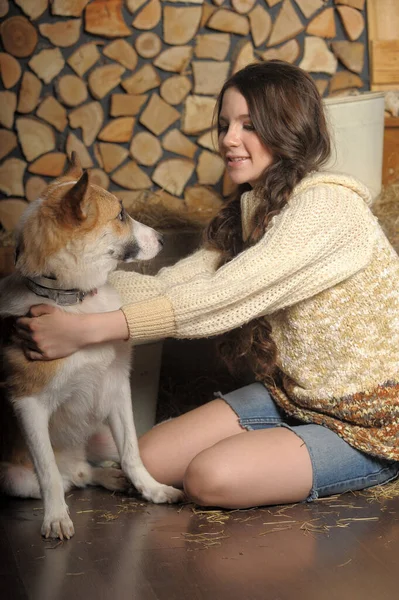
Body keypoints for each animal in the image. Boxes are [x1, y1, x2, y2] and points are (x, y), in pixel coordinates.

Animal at [0, 154, 184, 540]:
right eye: (120, 215)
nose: (163, 238)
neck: (75, 300)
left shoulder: (117, 389)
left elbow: (132, 452)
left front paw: (151, 488)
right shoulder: (27, 404)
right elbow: (49, 474)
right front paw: (56, 518)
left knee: (89, 470)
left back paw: (116, 477)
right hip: (14, 479)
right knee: (69, 477)